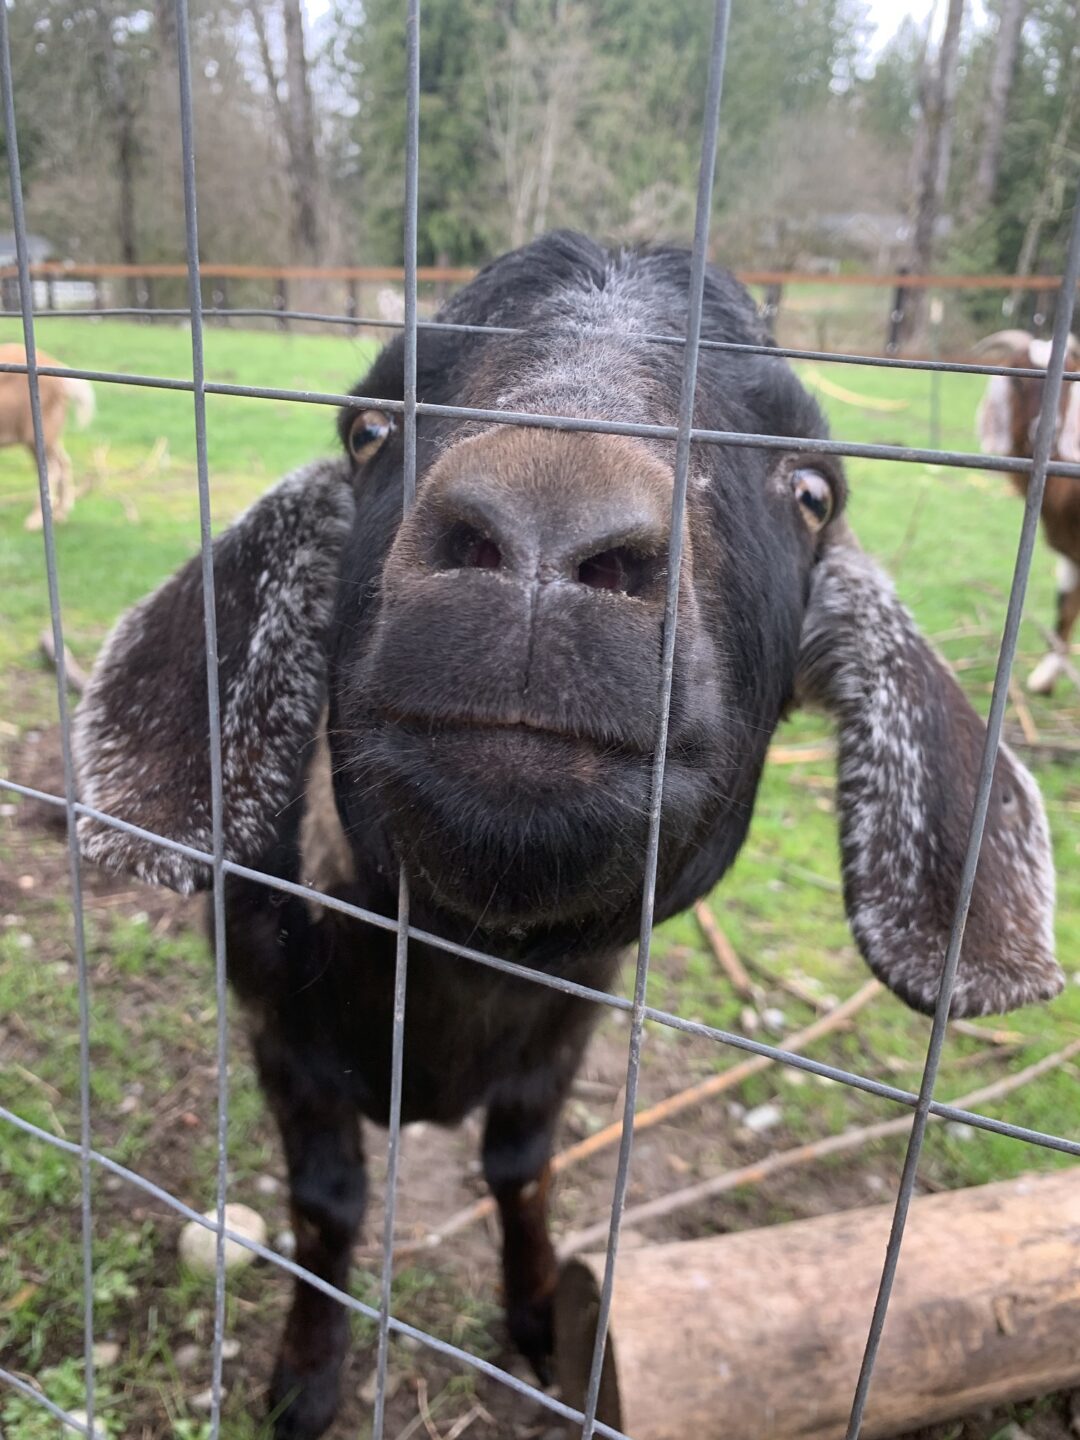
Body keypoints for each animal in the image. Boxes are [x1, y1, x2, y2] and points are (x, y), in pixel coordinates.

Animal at [0, 343, 95, 530]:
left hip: (37, 428)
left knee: (52, 468)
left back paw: (35, 520)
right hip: (49, 431)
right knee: (64, 461)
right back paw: (60, 513)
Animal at [73, 233, 1061, 1440]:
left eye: (811, 490)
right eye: (368, 430)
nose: (546, 521)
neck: (465, 955)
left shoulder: (569, 1025)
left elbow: (523, 1169)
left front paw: (544, 1316)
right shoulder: (278, 1032)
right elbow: (327, 1202)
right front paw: (305, 1382)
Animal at [975, 328, 1080, 693]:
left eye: (1069, 379)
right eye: (1018, 379)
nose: (1044, 433)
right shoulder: (1070, 553)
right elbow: (1064, 608)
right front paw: (1046, 678)